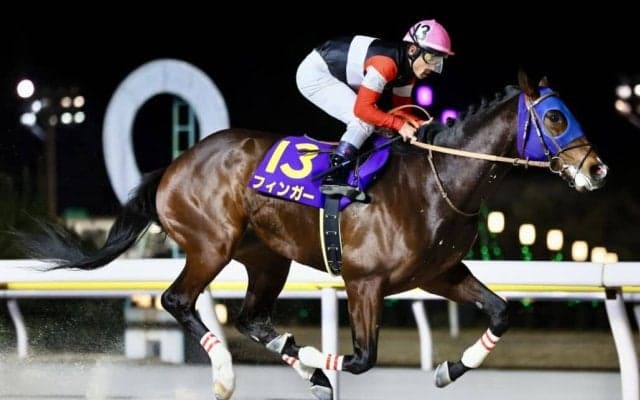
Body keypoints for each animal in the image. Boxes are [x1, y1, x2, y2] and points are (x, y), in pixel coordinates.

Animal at [14, 71, 608, 400]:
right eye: (556, 118)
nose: (597, 169)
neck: (437, 180)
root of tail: (175, 164)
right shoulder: (365, 281)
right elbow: (362, 358)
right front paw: (326, 363)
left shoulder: (439, 273)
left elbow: (501, 312)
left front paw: (445, 370)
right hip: (210, 244)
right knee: (177, 300)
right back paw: (227, 375)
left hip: (266, 258)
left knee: (251, 318)